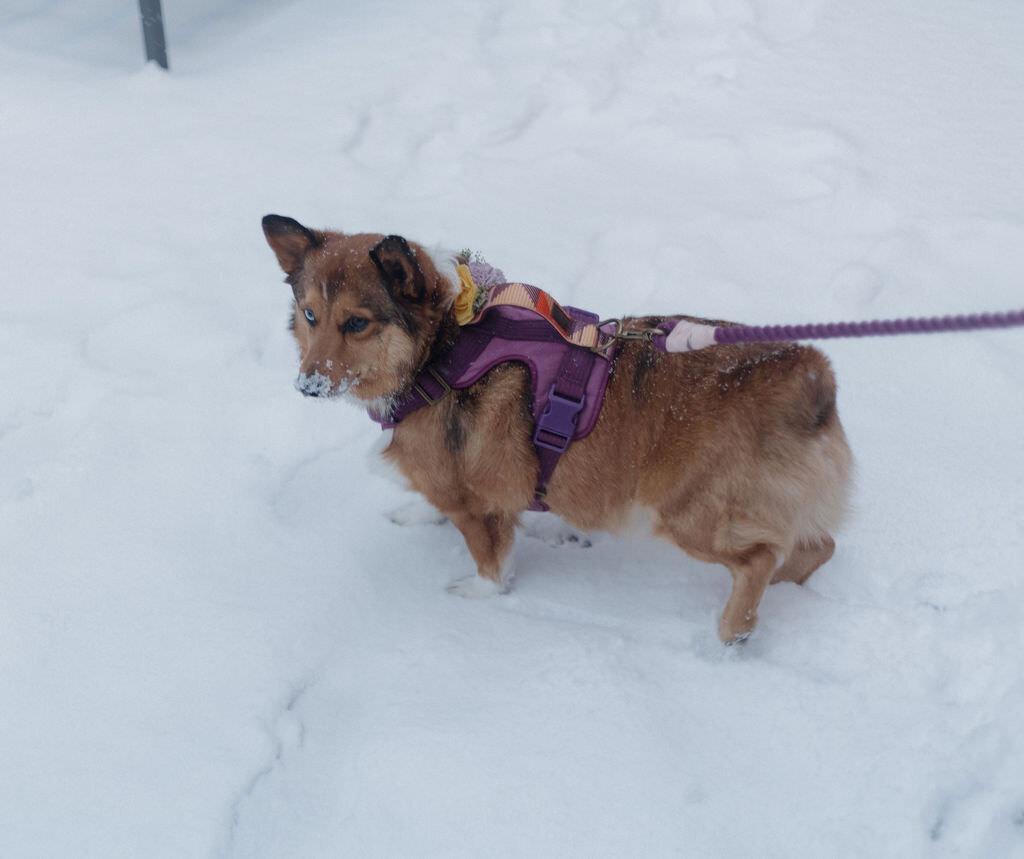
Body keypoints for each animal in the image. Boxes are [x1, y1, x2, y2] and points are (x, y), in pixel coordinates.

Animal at [260, 217, 851, 647]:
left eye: (357, 323)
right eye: (309, 315)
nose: (307, 386)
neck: (441, 349)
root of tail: (805, 369)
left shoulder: (477, 506)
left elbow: (488, 558)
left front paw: (480, 593)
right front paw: (416, 514)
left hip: (688, 515)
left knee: (759, 557)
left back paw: (732, 630)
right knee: (815, 547)